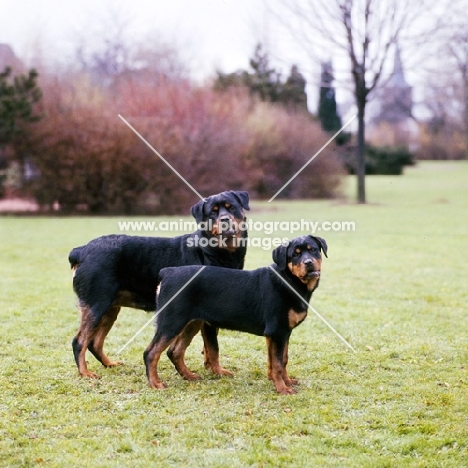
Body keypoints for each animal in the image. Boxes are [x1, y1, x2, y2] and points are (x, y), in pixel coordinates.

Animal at [68, 189, 249, 376]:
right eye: (213, 212)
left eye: (231, 207)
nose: (225, 219)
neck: (216, 250)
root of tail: (81, 251)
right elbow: (213, 346)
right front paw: (218, 371)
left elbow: (208, 346)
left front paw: (209, 367)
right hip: (97, 304)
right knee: (79, 341)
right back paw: (85, 373)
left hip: (110, 307)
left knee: (94, 342)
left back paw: (109, 364)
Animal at [144, 236, 328, 394]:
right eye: (294, 255)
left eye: (313, 250)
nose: (309, 263)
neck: (290, 280)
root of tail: (167, 272)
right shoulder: (277, 331)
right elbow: (277, 363)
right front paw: (283, 389)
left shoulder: (281, 333)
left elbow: (281, 359)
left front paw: (285, 382)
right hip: (171, 321)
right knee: (151, 353)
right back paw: (155, 383)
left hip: (192, 322)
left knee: (175, 352)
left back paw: (189, 376)